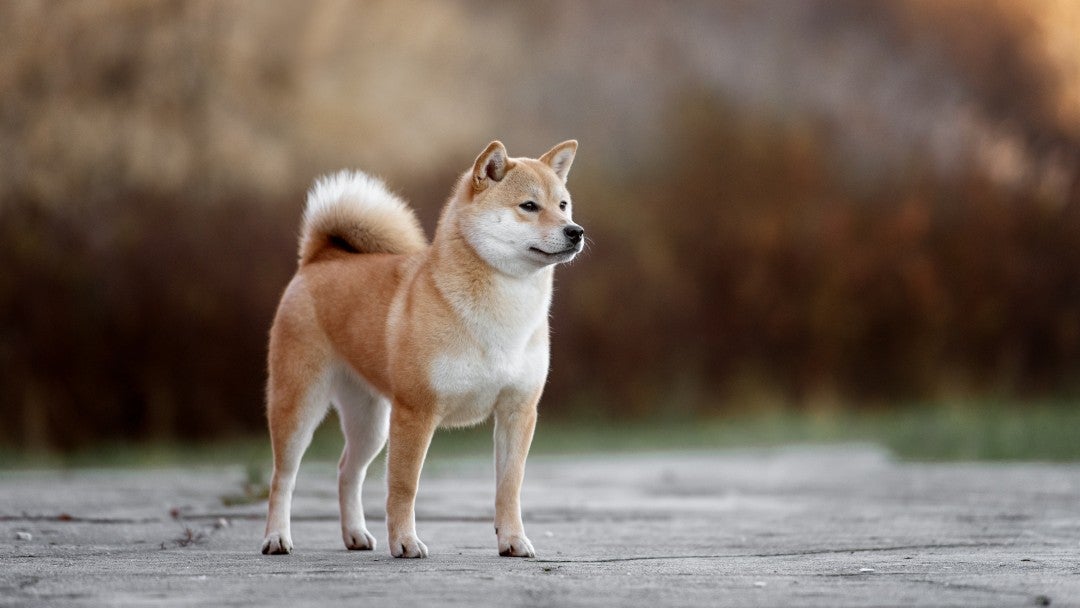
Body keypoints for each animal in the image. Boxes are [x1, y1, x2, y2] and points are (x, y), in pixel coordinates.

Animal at [259, 140, 583, 557]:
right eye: (529, 206)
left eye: (563, 205)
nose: (575, 231)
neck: (505, 309)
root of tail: (320, 258)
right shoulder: (416, 411)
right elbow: (404, 485)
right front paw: (405, 542)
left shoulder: (518, 410)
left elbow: (509, 486)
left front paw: (513, 540)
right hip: (299, 405)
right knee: (283, 476)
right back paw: (276, 537)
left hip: (370, 422)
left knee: (348, 471)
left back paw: (355, 535)